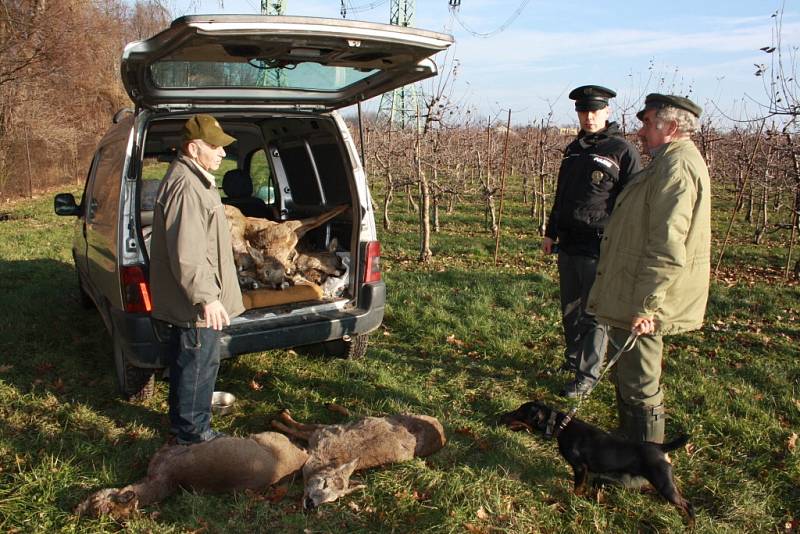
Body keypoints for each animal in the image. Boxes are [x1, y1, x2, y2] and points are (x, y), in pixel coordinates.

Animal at [500, 404, 692, 524]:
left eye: (518, 412)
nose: (502, 416)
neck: (562, 426)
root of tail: (661, 448)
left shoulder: (580, 467)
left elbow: (577, 488)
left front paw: (573, 500)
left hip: (664, 484)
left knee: (688, 504)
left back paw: (690, 525)